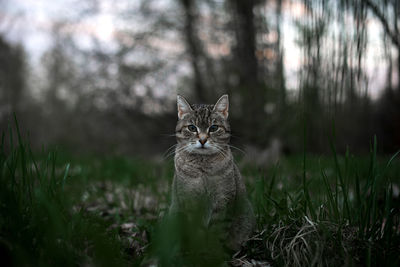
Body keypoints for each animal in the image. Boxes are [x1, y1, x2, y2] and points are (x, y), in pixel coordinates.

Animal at [167, 93, 255, 251]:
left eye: (213, 128)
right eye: (192, 128)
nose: (202, 140)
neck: (203, 167)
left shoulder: (223, 200)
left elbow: (217, 232)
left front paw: (212, 252)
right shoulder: (189, 201)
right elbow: (196, 231)